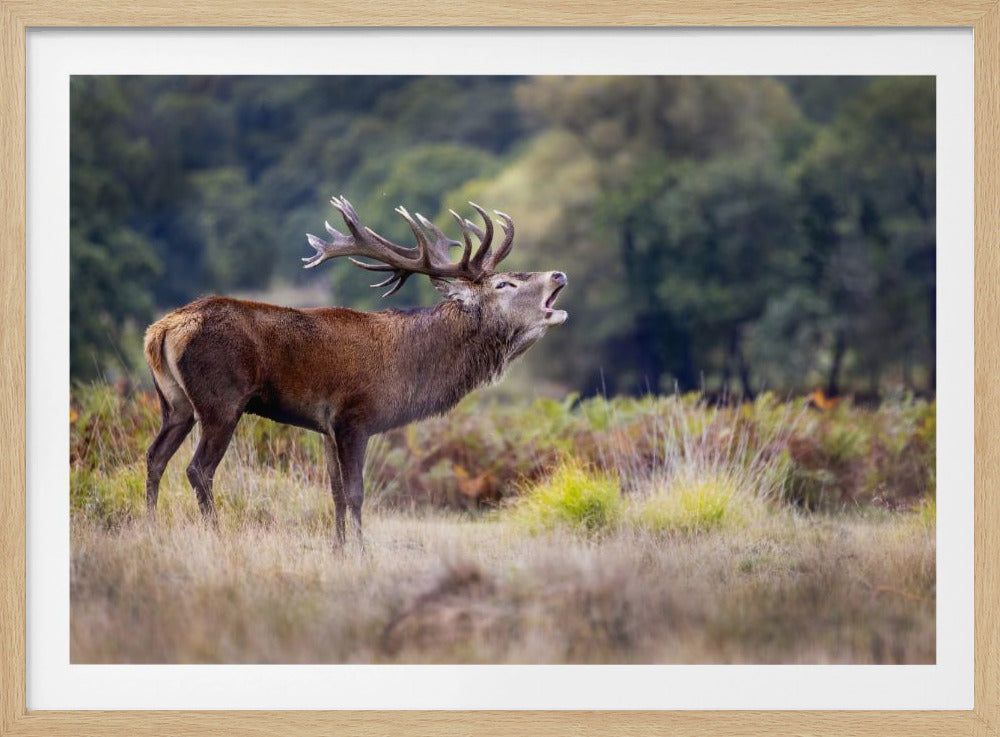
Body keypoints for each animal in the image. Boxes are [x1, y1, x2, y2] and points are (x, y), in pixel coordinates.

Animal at [143, 196, 568, 547]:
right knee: (198, 469)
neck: (410, 368)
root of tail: (161, 330)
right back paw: (215, 534)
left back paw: (150, 528)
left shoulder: (325, 426)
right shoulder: (354, 418)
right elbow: (355, 493)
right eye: (504, 284)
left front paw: (339, 549)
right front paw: (362, 551)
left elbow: (334, 492)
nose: (558, 275)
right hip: (221, 401)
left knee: (154, 456)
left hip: (175, 404)